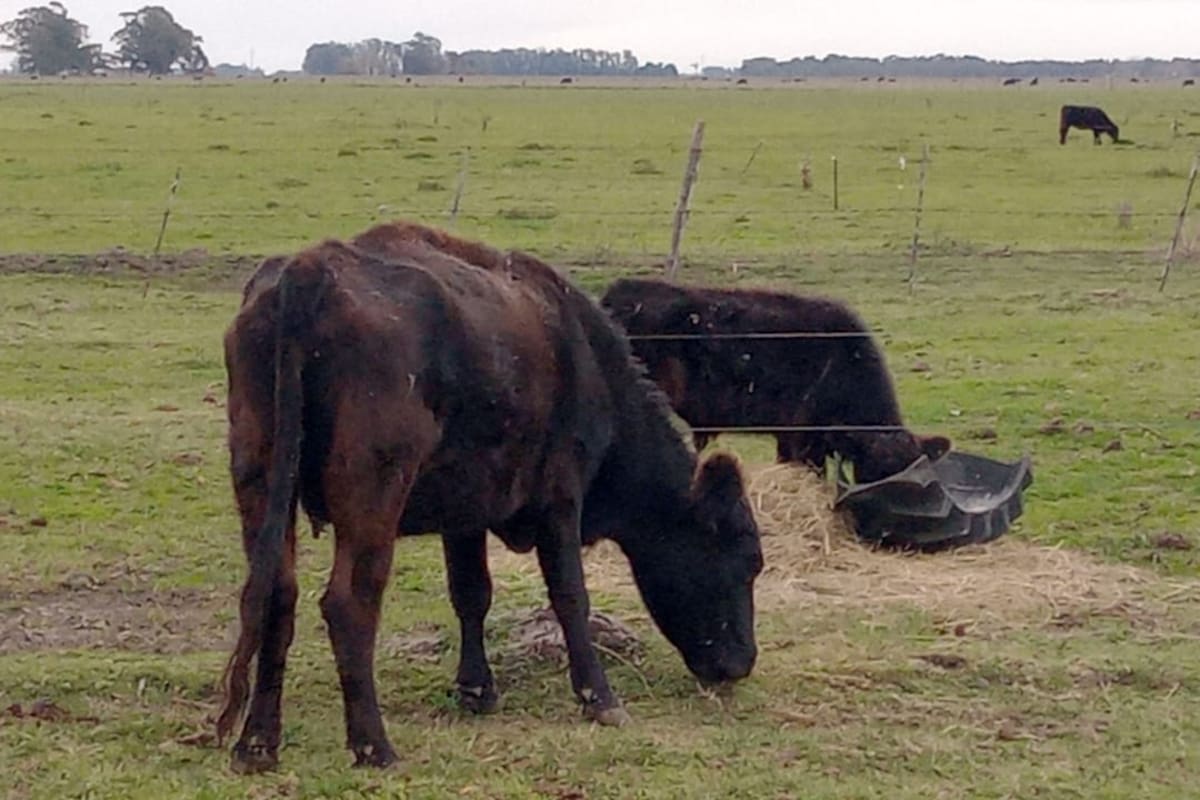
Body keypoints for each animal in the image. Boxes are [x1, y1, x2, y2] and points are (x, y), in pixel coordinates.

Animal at [216, 223, 763, 773]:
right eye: (745, 560)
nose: (742, 662)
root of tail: (311, 270)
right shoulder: (561, 492)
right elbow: (570, 595)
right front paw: (600, 699)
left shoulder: (465, 508)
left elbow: (471, 592)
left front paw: (476, 689)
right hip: (373, 487)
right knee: (348, 604)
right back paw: (374, 745)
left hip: (259, 473)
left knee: (276, 594)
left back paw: (257, 744)